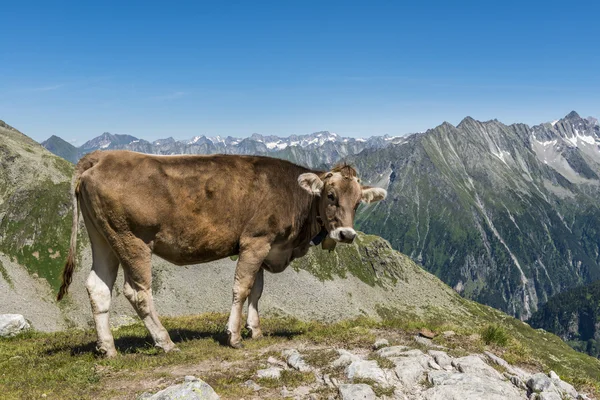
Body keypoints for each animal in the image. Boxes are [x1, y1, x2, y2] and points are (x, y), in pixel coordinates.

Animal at [55, 151, 384, 356]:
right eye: (330, 196)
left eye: (358, 202)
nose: (346, 235)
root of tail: (102, 156)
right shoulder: (255, 241)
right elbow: (242, 288)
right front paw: (234, 336)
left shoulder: (266, 246)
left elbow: (257, 290)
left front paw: (255, 330)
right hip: (130, 239)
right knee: (137, 291)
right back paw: (165, 342)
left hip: (103, 237)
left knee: (98, 287)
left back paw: (108, 348)